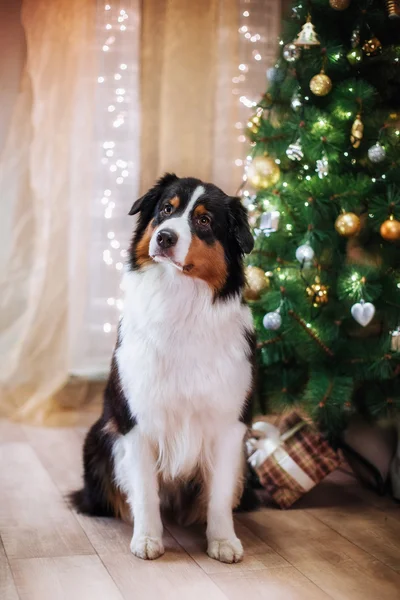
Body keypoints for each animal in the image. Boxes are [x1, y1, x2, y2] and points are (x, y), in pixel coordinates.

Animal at [70, 173, 255, 564]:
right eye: (166, 210)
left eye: (204, 220)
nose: (165, 237)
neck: (179, 301)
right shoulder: (136, 421)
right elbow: (144, 491)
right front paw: (147, 539)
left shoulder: (229, 424)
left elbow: (219, 495)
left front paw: (223, 541)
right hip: (100, 438)